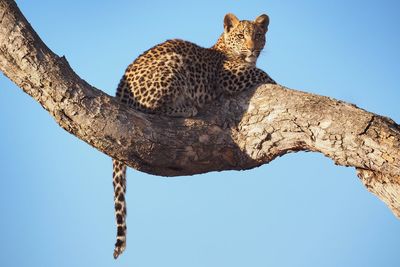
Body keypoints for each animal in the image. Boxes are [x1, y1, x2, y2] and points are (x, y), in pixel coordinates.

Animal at [111, 12, 276, 260]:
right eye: (241, 36)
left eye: (258, 35)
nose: (252, 49)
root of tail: (120, 93)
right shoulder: (228, 76)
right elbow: (263, 74)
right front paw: (277, 81)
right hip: (172, 65)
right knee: (152, 110)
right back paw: (187, 108)